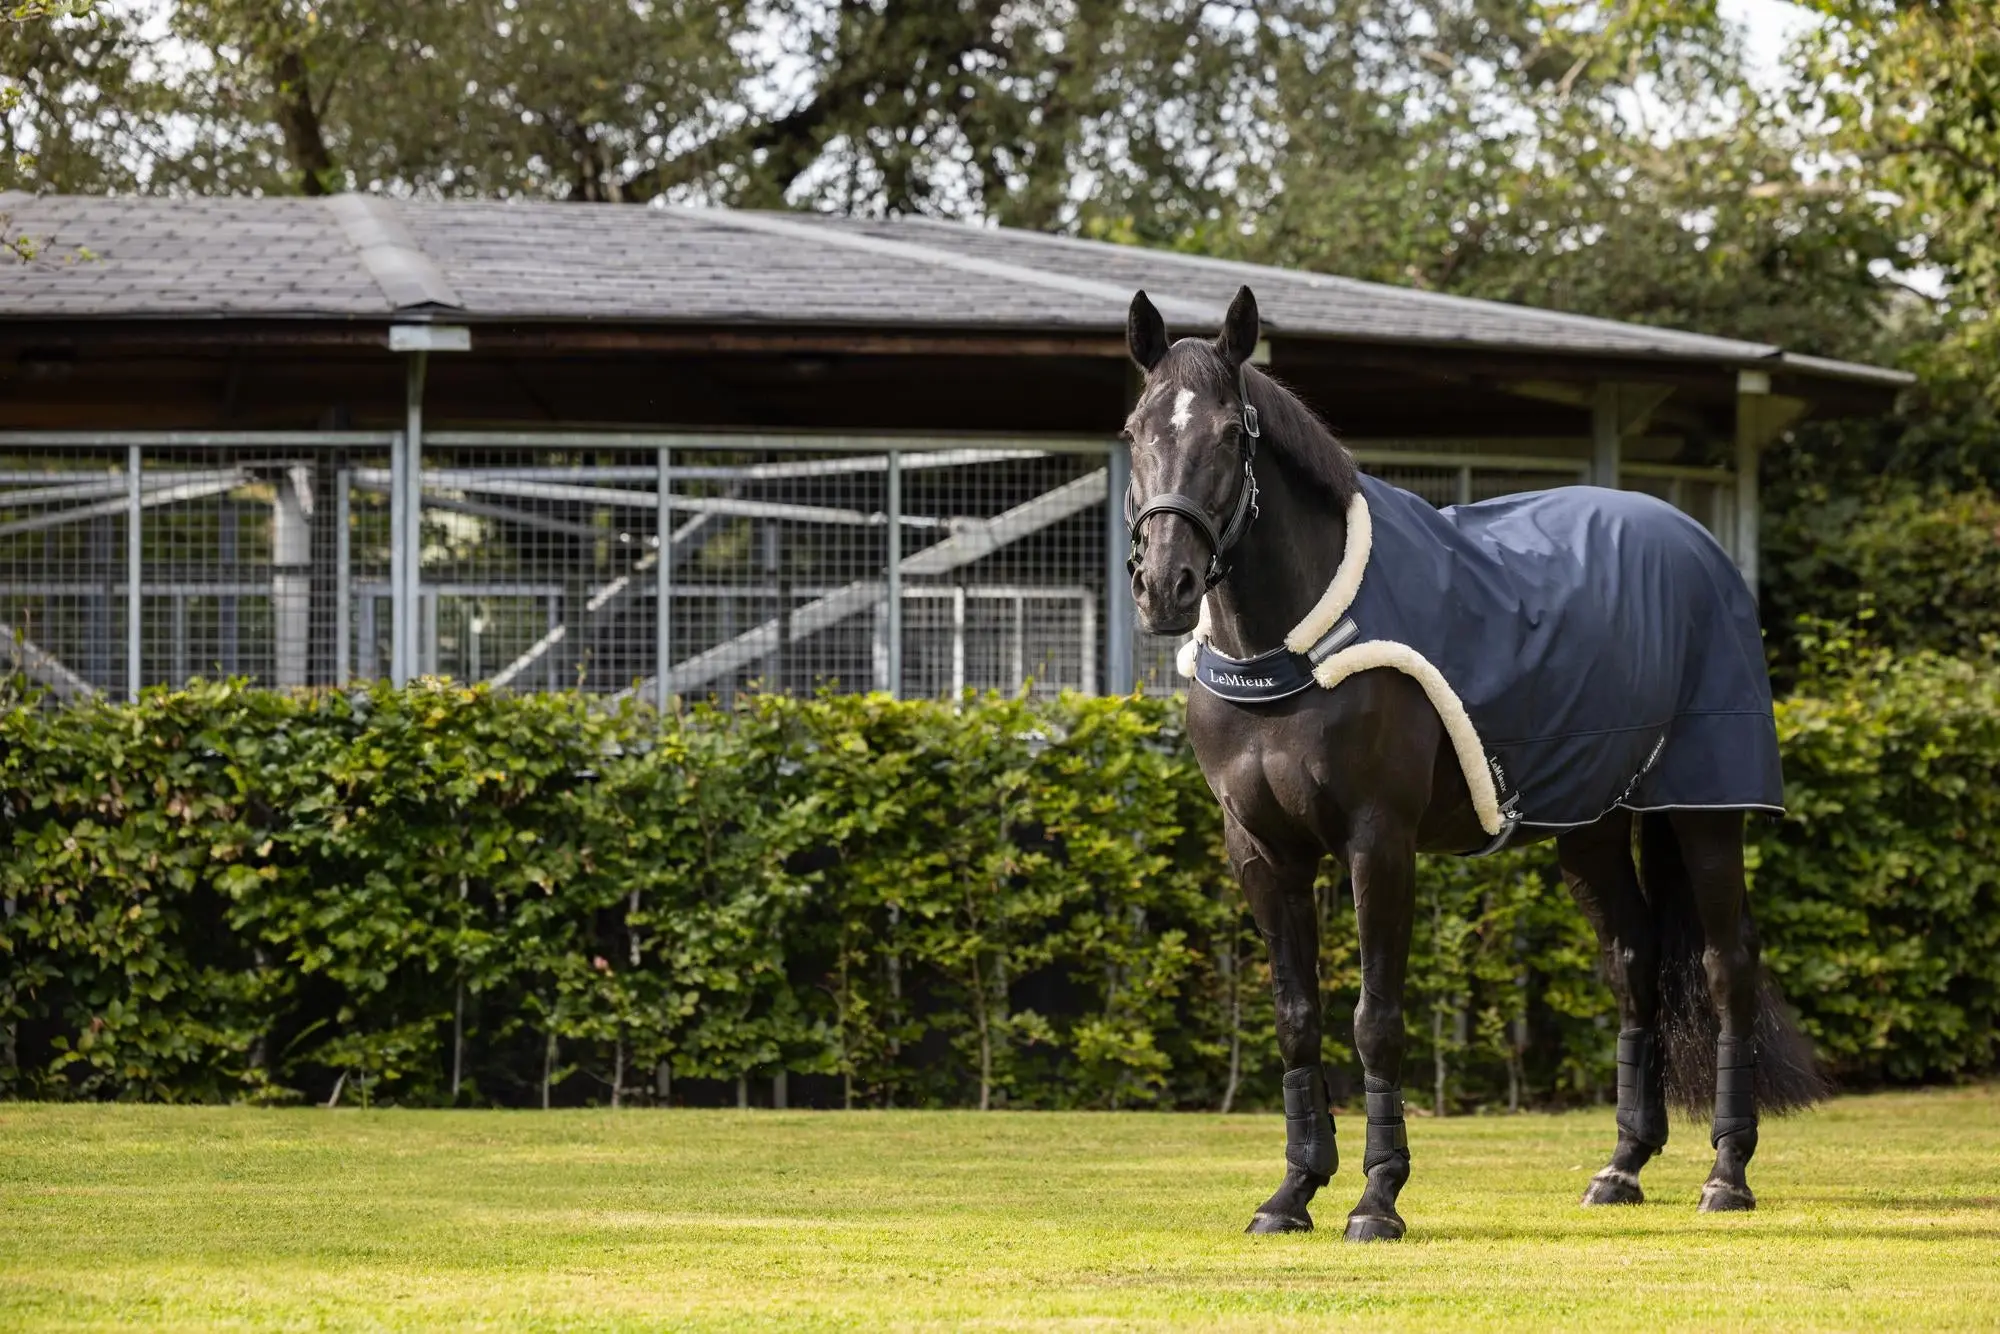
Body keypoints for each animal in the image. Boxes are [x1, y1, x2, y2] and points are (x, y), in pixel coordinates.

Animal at [1122, 284, 1825, 1240]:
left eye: (1233, 433)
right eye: (1133, 430)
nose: (1166, 586)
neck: (1292, 652)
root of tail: (1694, 542)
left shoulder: (1378, 842)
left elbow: (1375, 1019)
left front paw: (1377, 1198)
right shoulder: (1262, 851)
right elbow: (1297, 1018)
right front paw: (1293, 1192)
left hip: (1703, 810)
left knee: (1726, 967)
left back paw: (1727, 1173)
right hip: (1590, 826)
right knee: (1634, 961)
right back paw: (1622, 1165)